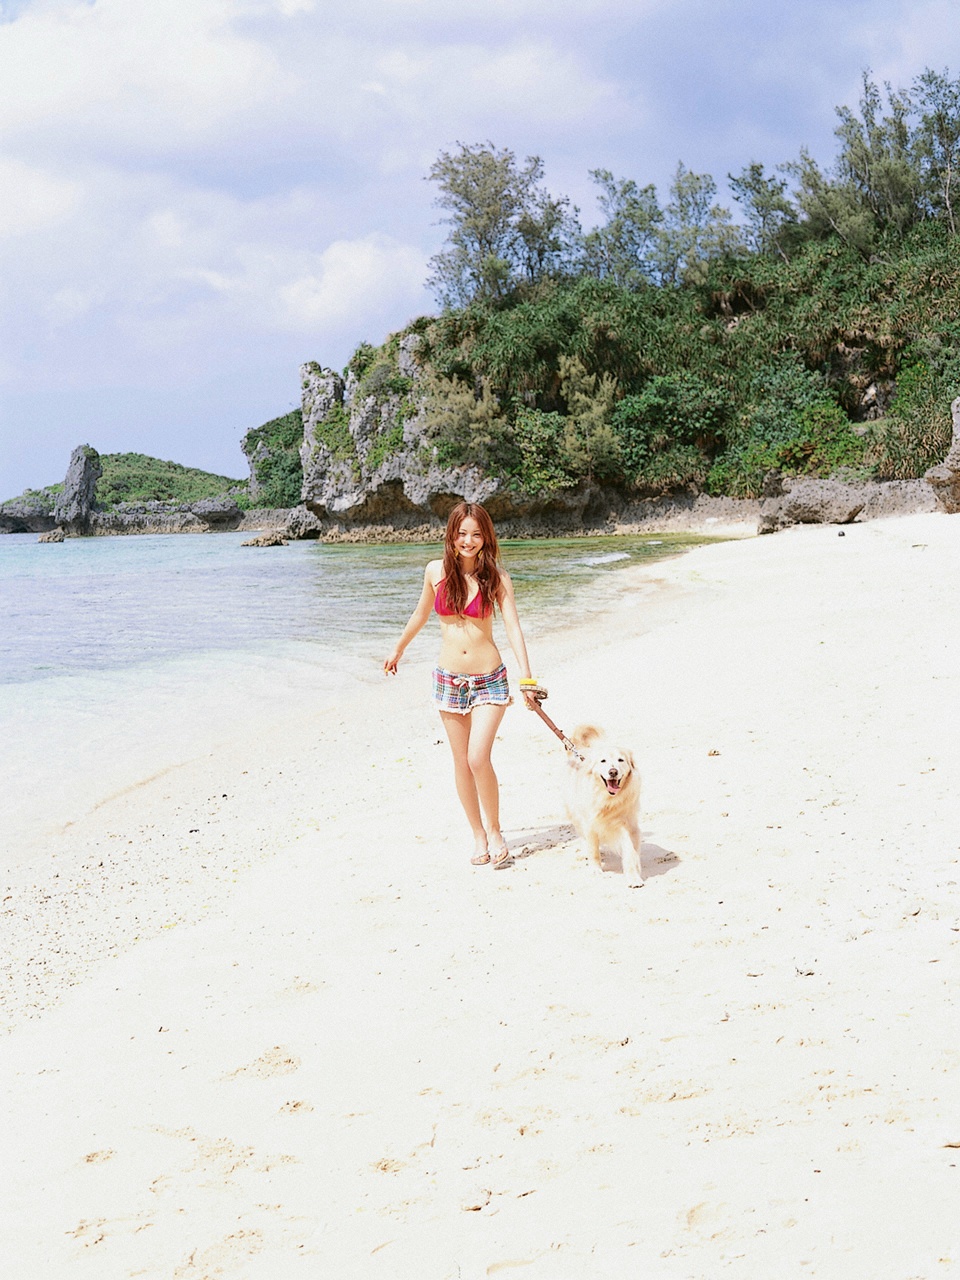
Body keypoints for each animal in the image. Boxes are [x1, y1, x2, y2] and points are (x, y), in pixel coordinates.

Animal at [564, 724, 643, 887]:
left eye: (621, 760)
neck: (608, 801)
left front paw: (633, 877)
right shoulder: (590, 825)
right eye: (603, 761)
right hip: (576, 814)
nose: (612, 772)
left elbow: (630, 853)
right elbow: (593, 850)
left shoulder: (628, 825)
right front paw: (596, 869)